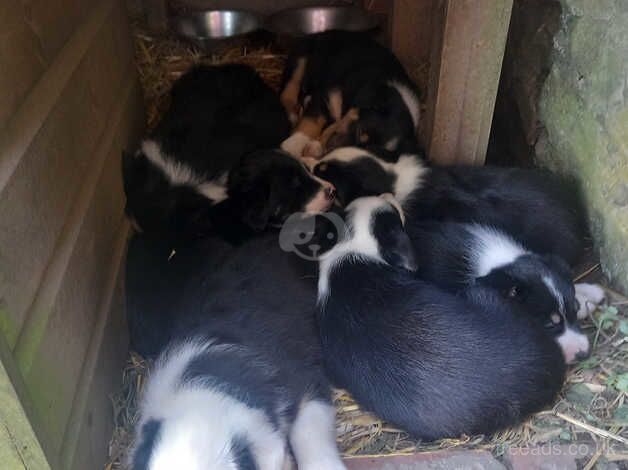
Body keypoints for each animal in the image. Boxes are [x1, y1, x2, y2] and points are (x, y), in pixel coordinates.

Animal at [280, 32, 422, 160]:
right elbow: (311, 121)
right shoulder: (325, 96)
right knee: (288, 90)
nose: (330, 148)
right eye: (360, 132)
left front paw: (314, 147)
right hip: (301, 58)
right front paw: (292, 146)